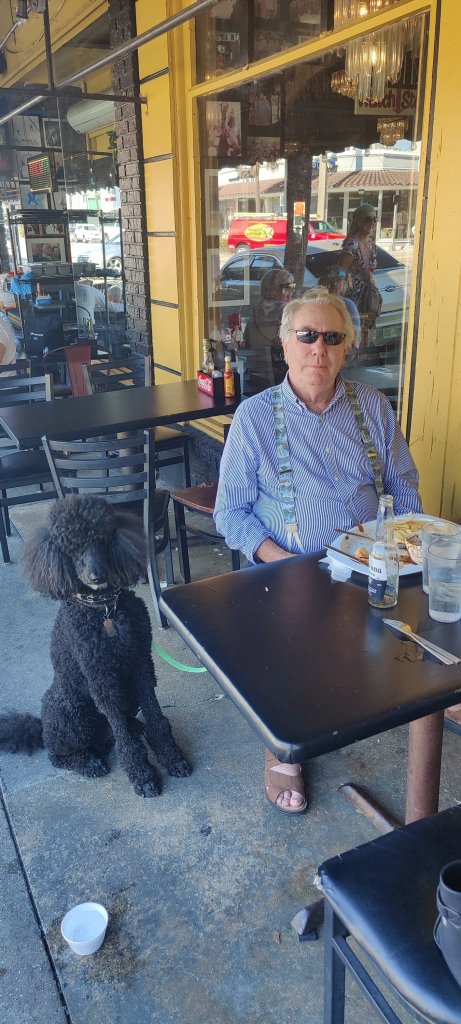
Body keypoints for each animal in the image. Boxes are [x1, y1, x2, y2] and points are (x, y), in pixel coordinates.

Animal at [0, 495, 192, 797]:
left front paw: (171, 757)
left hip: (126, 693)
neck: (104, 611)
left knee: (118, 727)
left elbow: (156, 718)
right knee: (59, 754)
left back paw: (133, 727)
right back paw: (89, 763)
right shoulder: (102, 681)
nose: (96, 576)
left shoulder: (141, 666)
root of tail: (42, 726)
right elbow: (125, 742)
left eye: (102, 539)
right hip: (73, 713)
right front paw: (142, 776)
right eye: (70, 546)